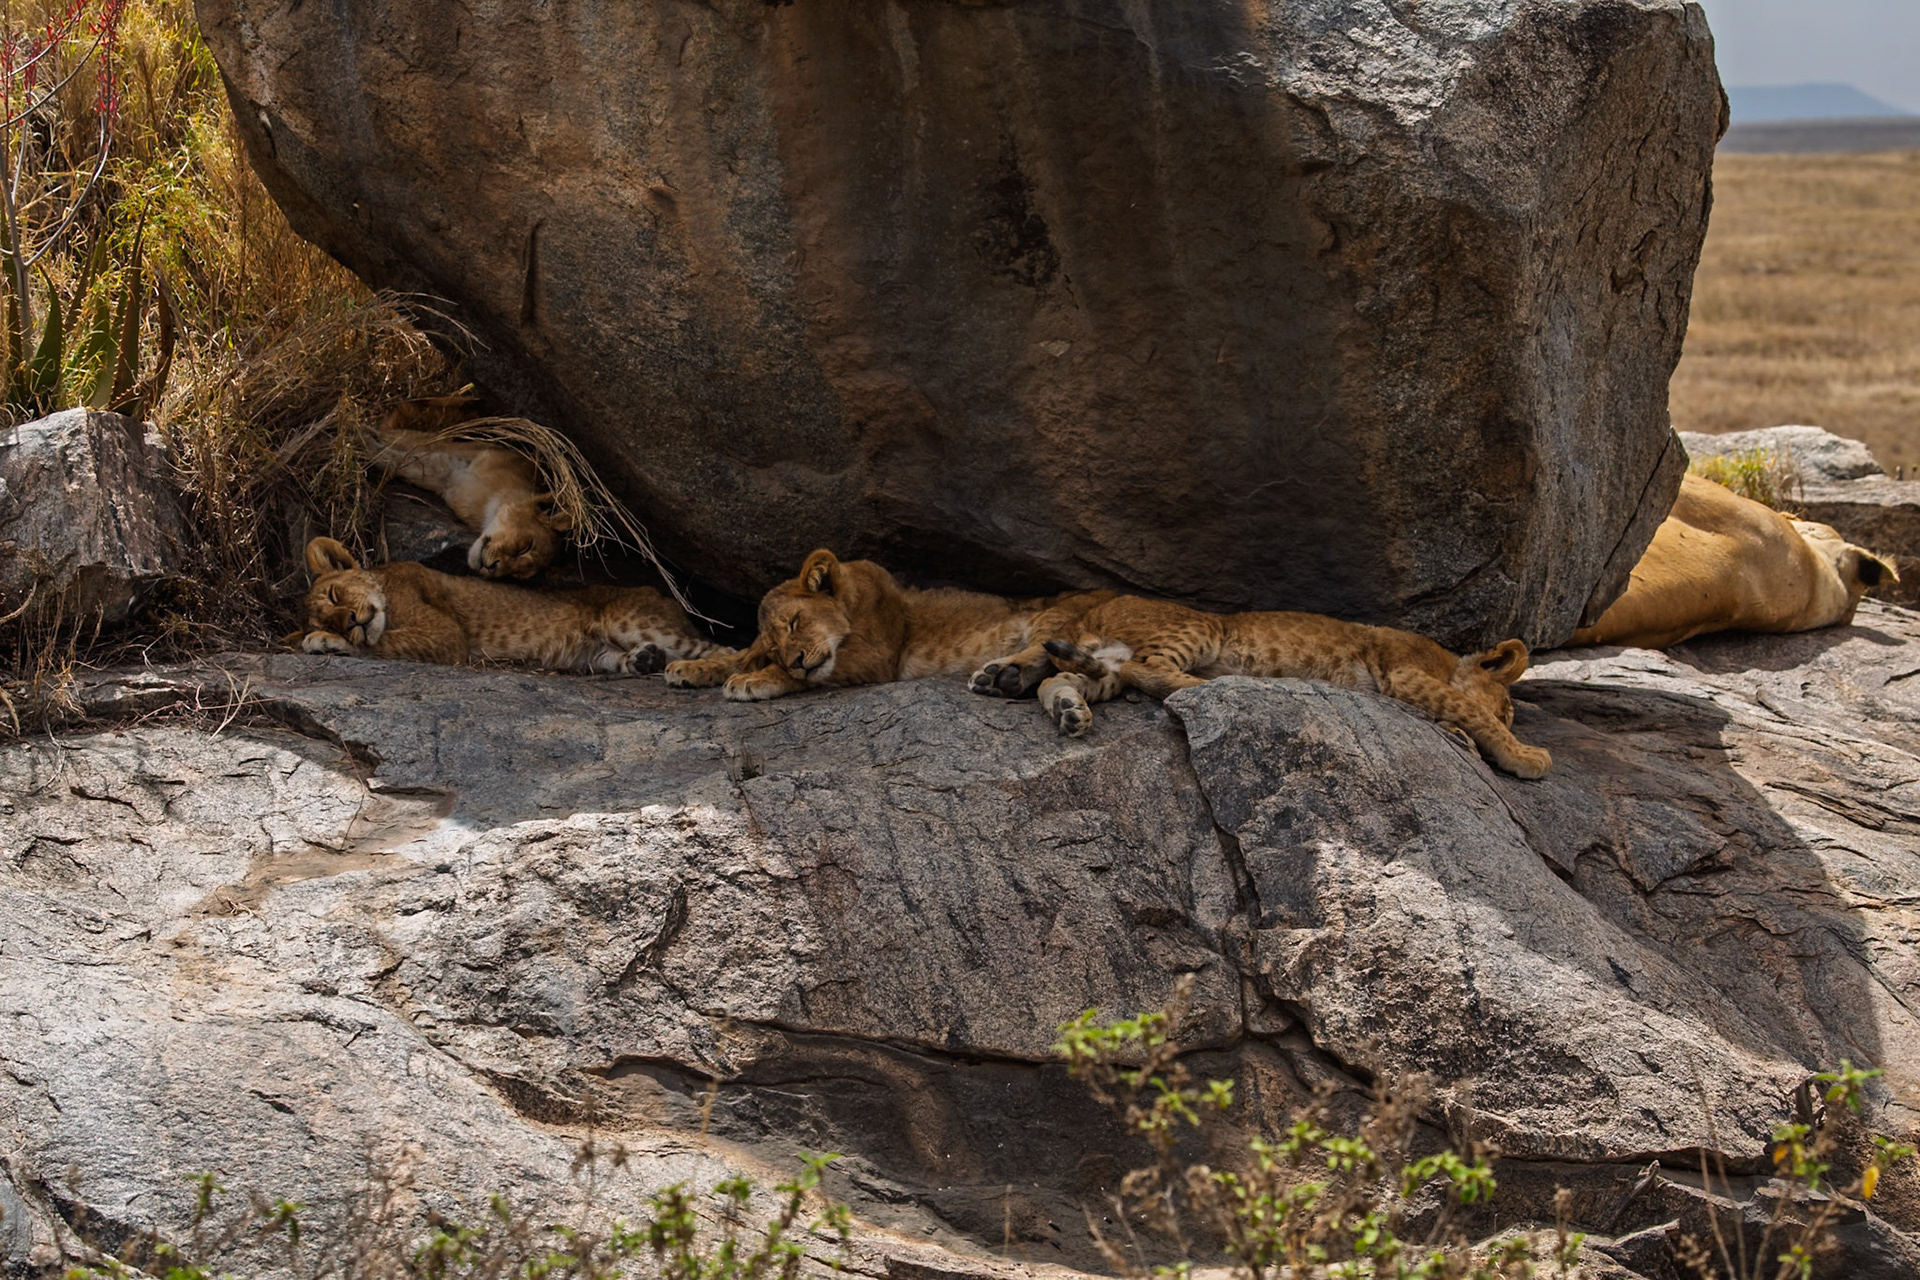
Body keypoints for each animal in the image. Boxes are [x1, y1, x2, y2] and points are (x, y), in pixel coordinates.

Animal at [297, 537, 729, 673]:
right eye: (330, 617)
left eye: (335, 596)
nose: (349, 621)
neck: (385, 583)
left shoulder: (446, 636)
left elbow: (384, 643)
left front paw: (326, 642)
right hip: (592, 655)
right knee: (616, 660)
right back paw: (645, 661)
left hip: (629, 619)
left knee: (723, 649)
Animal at [366, 396, 571, 579]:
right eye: (525, 547)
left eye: (516, 574)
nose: (492, 569)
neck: (488, 504)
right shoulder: (460, 452)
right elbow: (406, 448)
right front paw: (363, 438)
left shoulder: (447, 476)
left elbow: (406, 463)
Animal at [664, 548, 1115, 701]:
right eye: (774, 646)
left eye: (794, 622)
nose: (794, 660)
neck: (852, 600)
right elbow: (741, 653)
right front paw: (688, 668)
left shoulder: (879, 657)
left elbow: (799, 675)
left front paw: (751, 680)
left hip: (1052, 614)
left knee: (1046, 648)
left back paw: (1000, 674)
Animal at [1009, 595, 1550, 779]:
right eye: (1508, 711)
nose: (1510, 718)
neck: (1446, 659)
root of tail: (1090, 610)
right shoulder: (1405, 670)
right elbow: (1469, 708)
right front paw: (1526, 755)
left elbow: (1459, 712)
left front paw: (1463, 739)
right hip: (1202, 626)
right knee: (1151, 668)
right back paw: (1221, 684)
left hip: (1101, 666)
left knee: (1063, 675)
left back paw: (1066, 710)